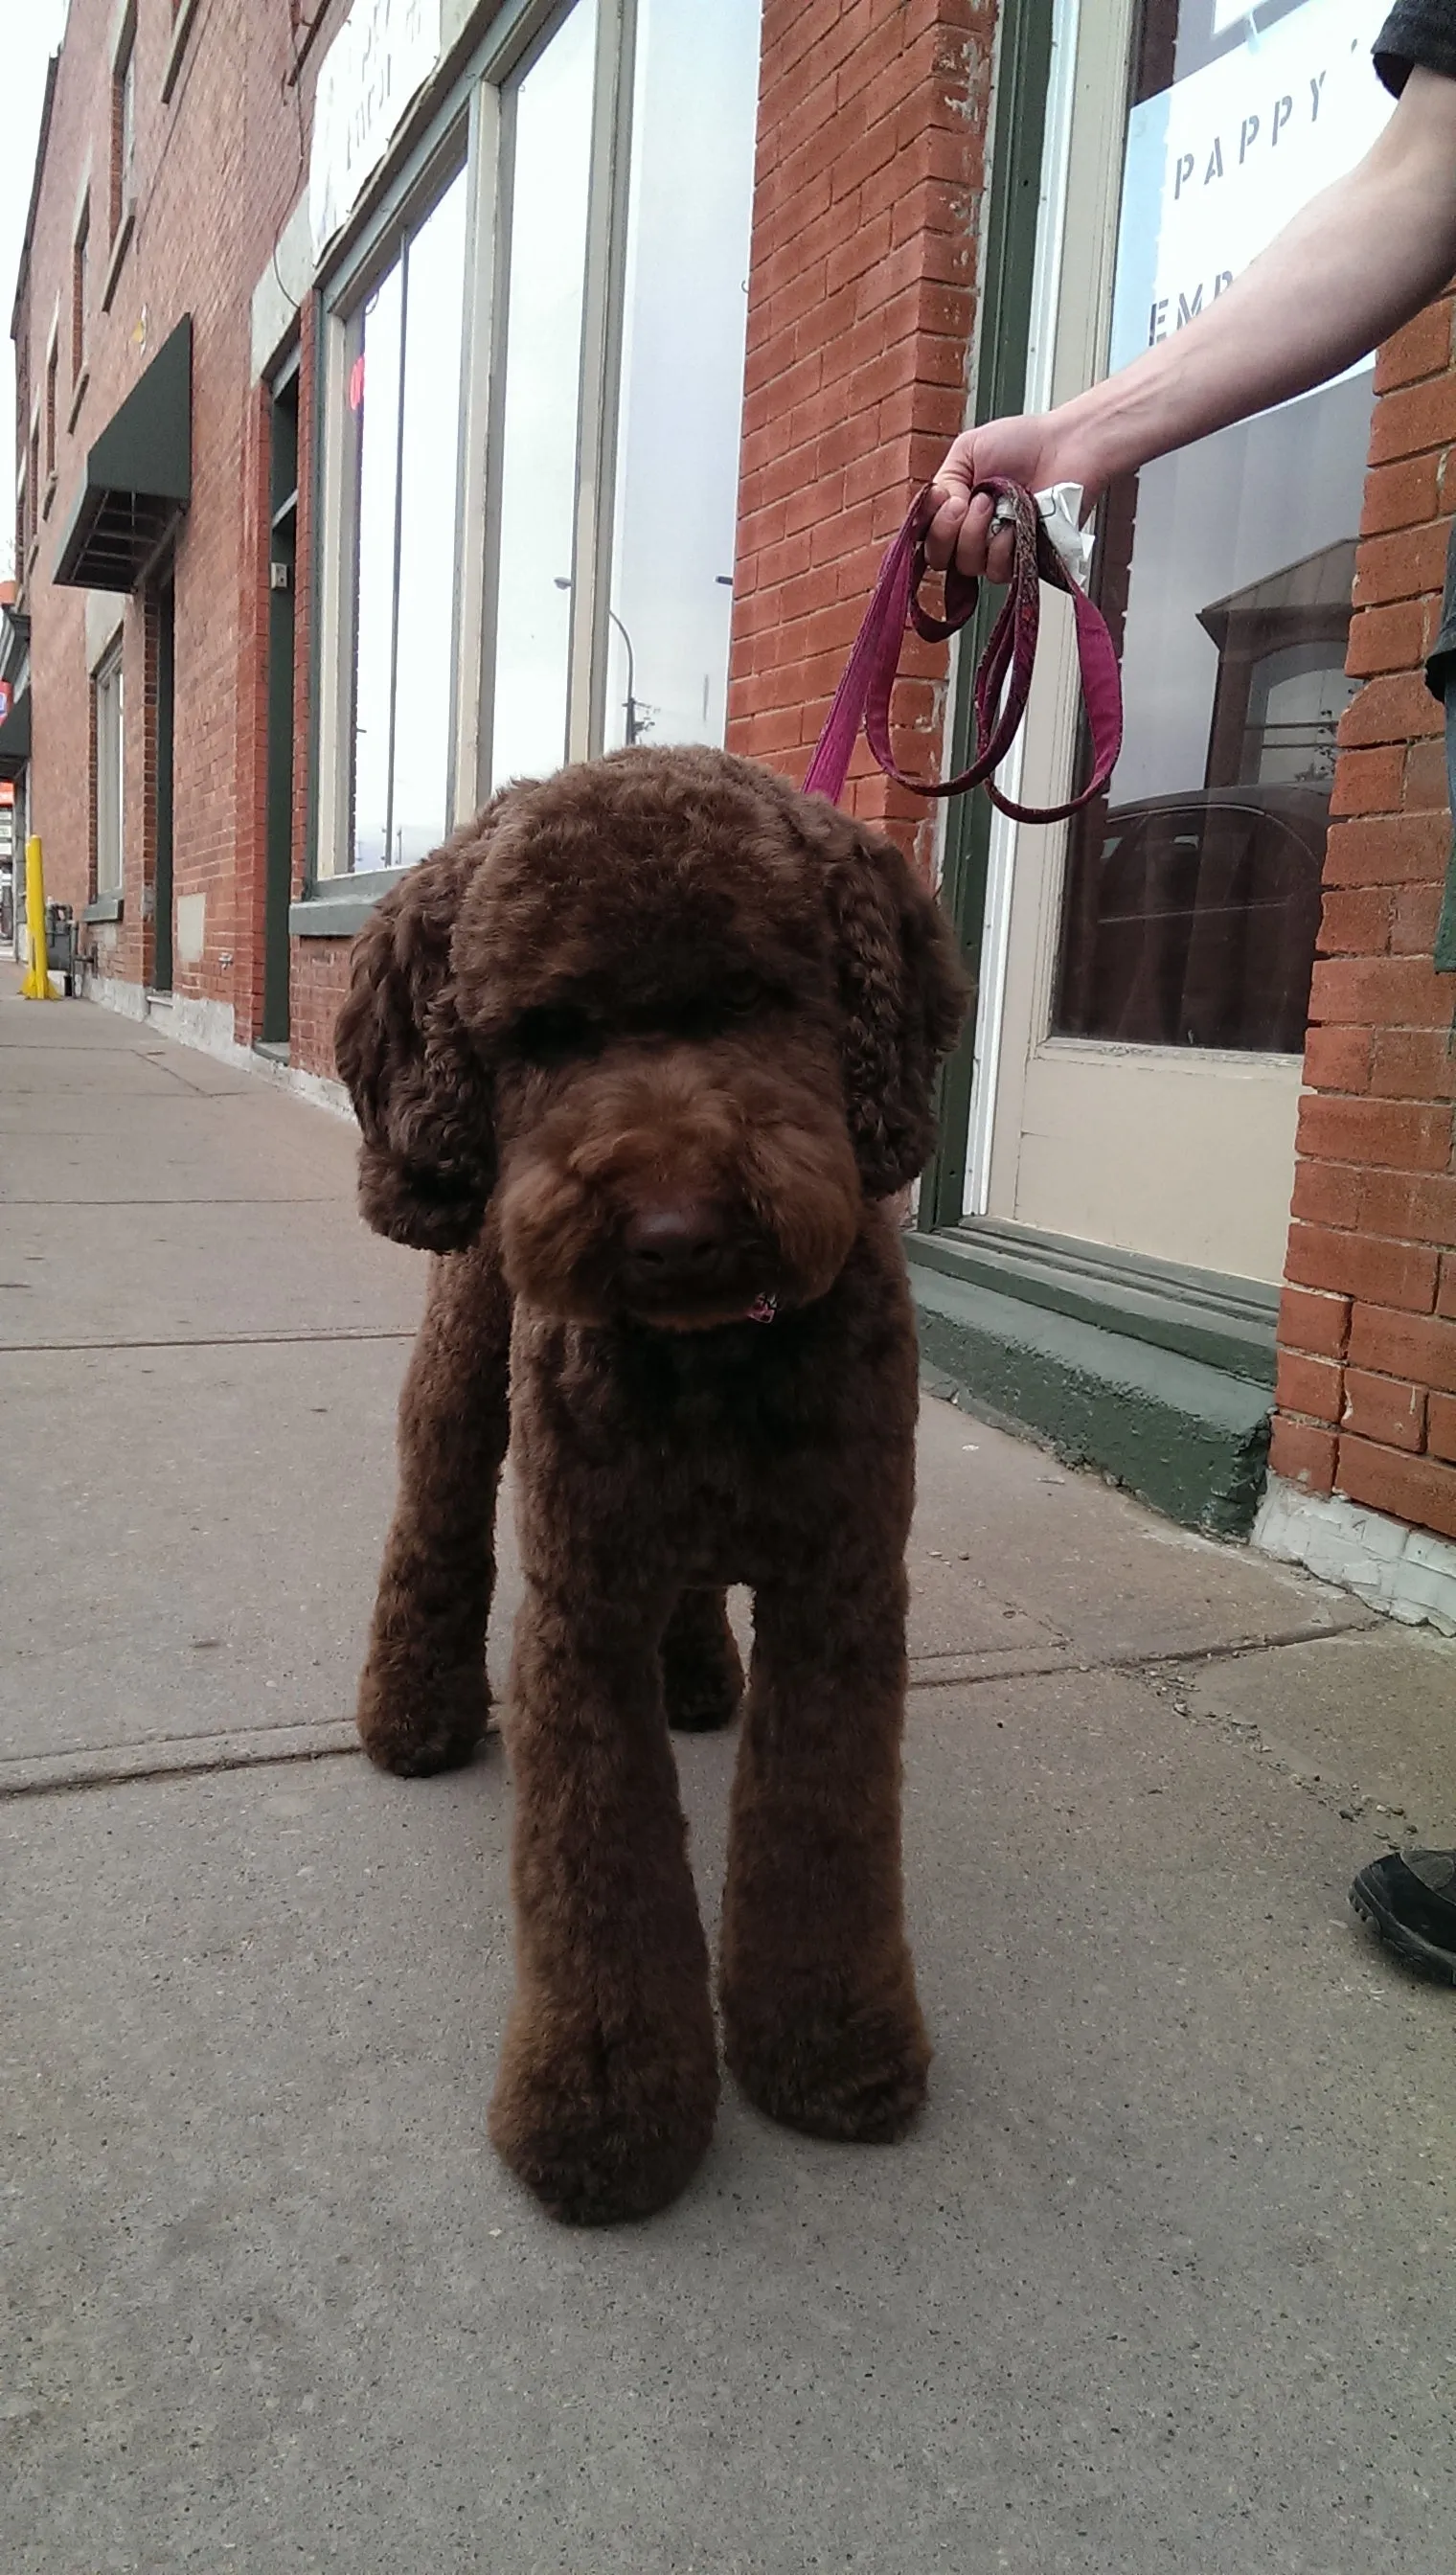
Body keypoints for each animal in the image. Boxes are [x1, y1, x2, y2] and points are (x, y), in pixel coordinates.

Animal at [330, 736, 964, 2224]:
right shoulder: (582, 1607)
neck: (713, 1354)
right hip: (463, 1374)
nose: (672, 1230)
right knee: (434, 1516)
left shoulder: (842, 1593)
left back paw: (698, 1679)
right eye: (543, 1033)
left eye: (752, 999)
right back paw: (413, 1714)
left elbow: (823, 1832)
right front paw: (604, 2114)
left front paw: (830, 2050)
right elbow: (598, 1872)